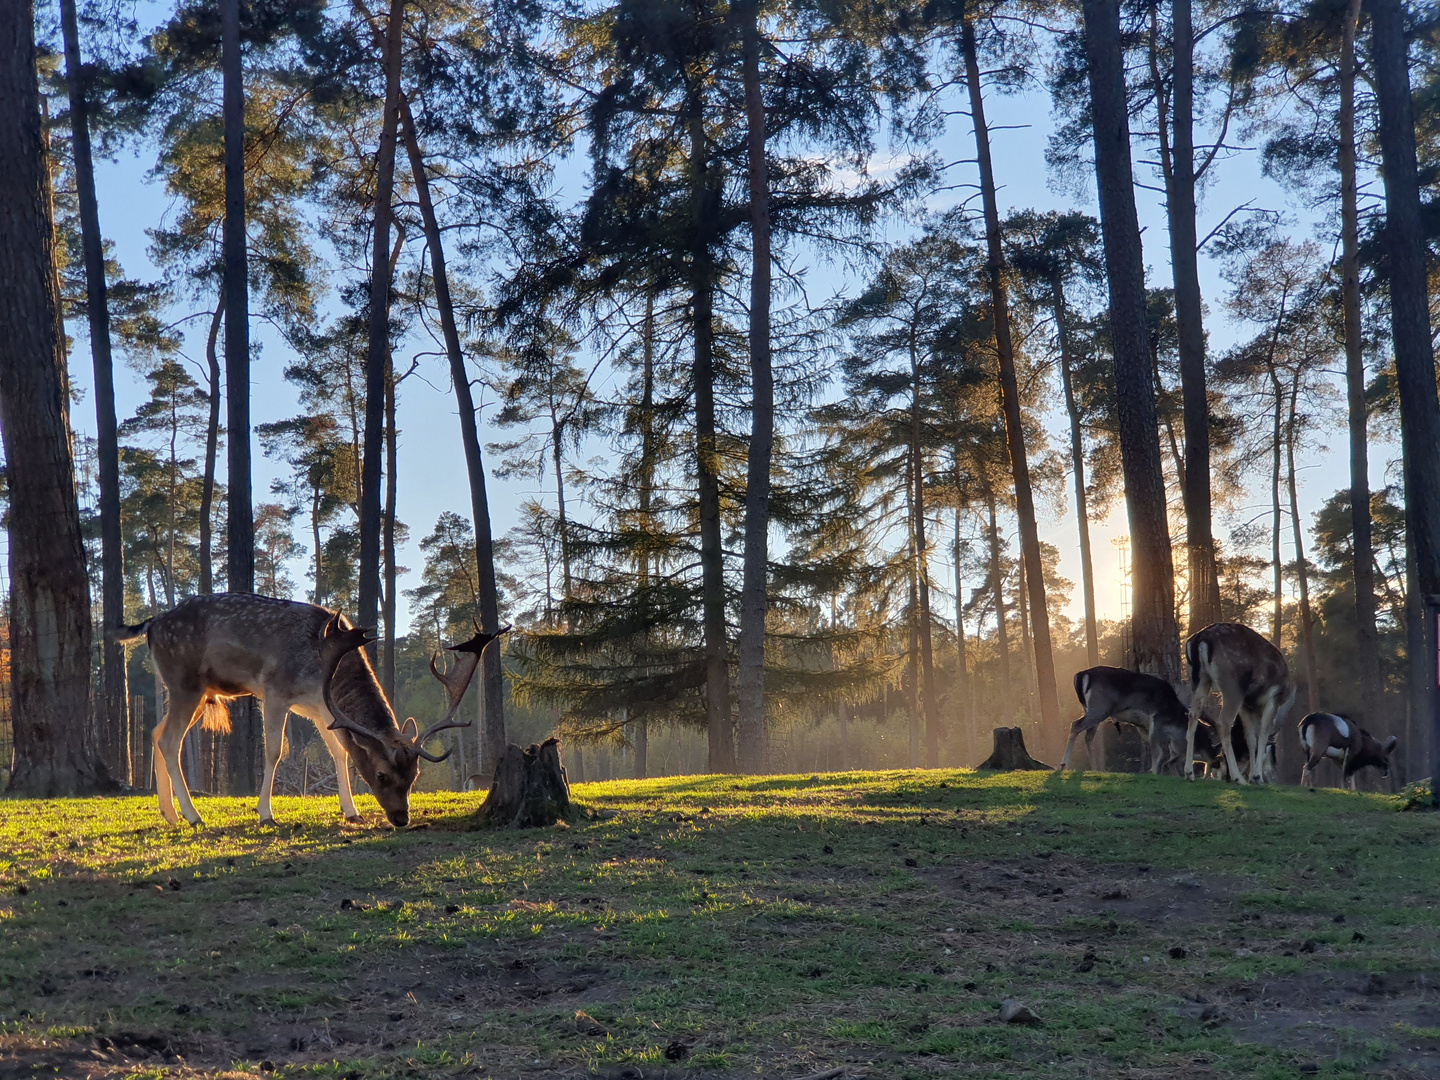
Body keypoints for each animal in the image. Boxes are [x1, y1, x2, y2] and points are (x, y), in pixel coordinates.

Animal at [113, 596, 506, 835]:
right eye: (381, 775)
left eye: (416, 775)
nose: (401, 818)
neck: (325, 667)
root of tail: (150, 625)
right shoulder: (275, 691)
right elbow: (274, 751)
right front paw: (266, 813)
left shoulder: (321, 709)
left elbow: (341, 753)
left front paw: (351, 811)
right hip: (185, 682)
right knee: (169, 740)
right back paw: (193, 815)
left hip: (197, 693)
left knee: (154, 732)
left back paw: (169, 812)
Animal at [1180, 624, 1296, 789]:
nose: (1272, 774)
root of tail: (1200, 639)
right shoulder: (1272, 699)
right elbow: (1262, 734)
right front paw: (1257, 777)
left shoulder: (1246, 706)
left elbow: (1251, 738)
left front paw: (1254, 777)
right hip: (1233, 686)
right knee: (1223, 722)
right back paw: (1238, 778)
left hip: (1199, 679)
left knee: (1193, 714)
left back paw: (1189, 773)